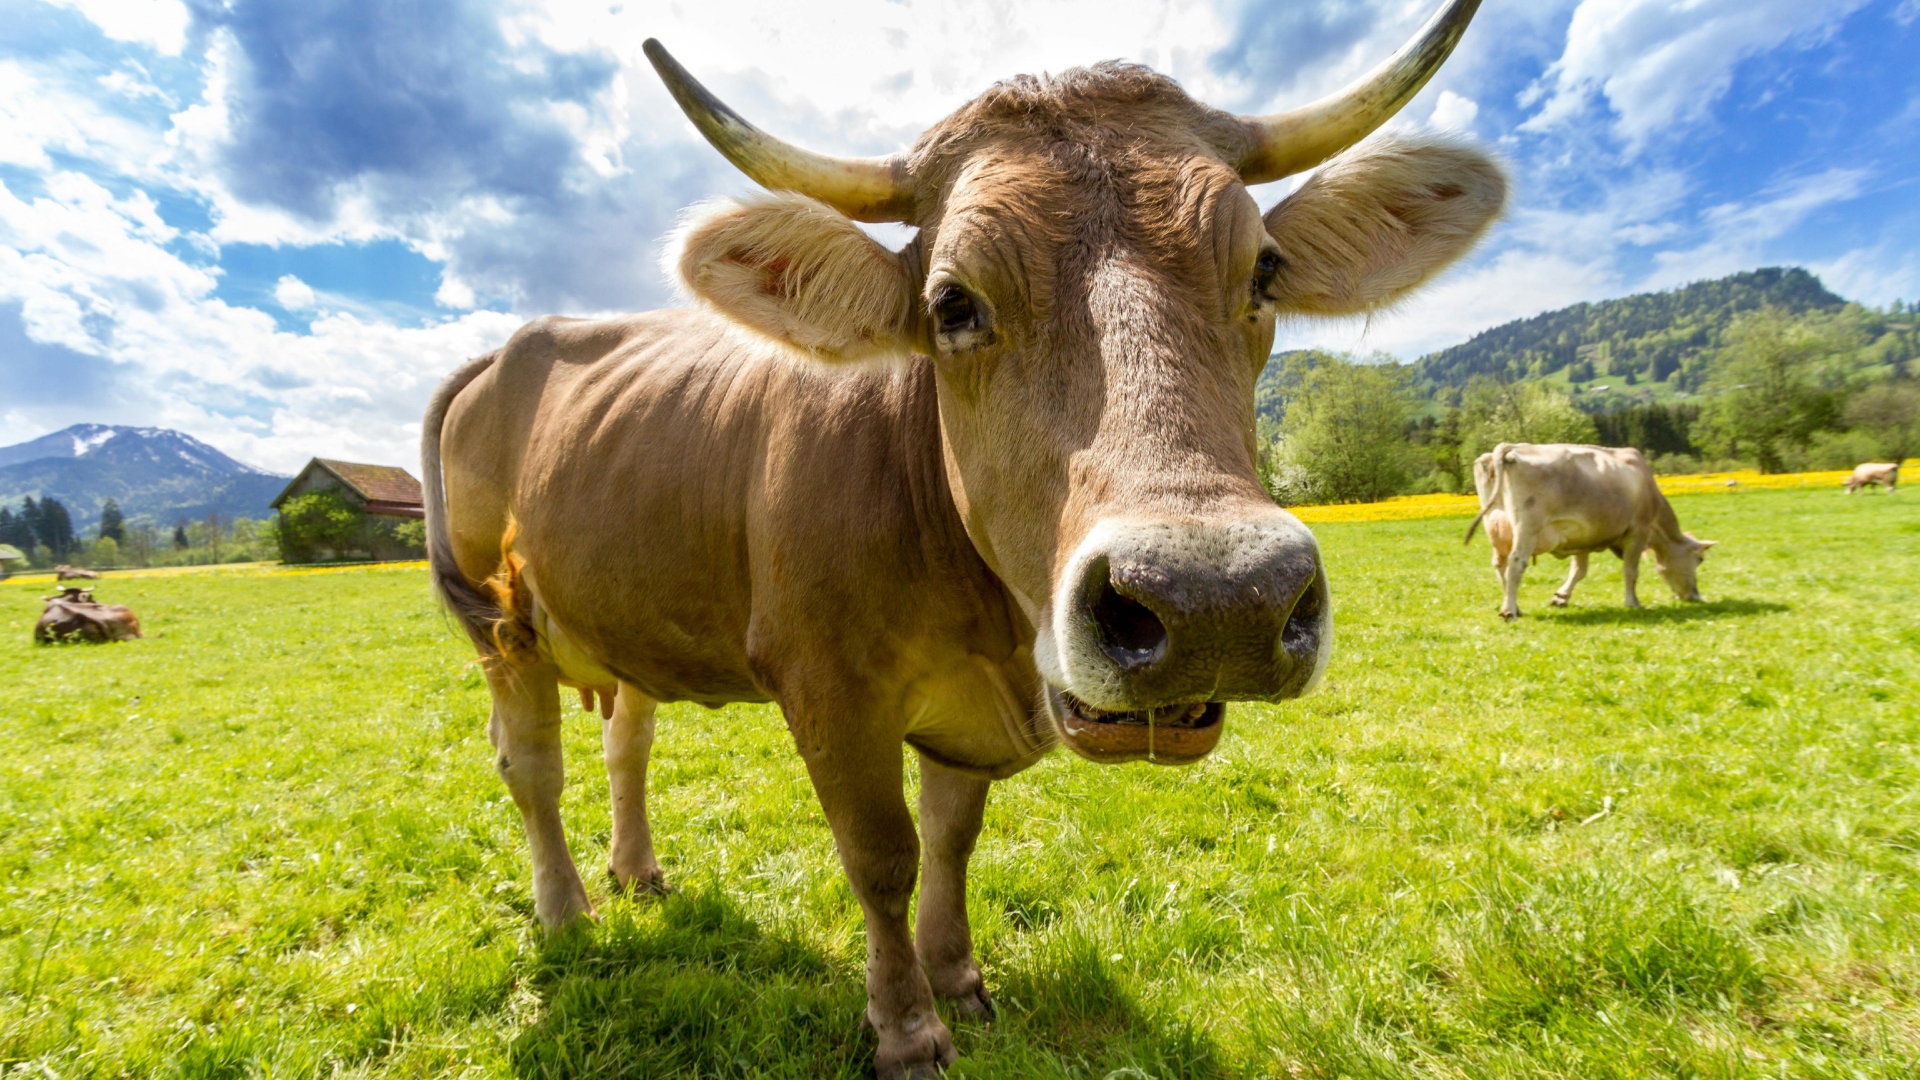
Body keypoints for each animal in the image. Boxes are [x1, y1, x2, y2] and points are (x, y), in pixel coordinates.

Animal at [425, 2, 1502, 1074]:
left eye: (1265, 272)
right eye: (953, 304)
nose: (1215, 602)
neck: (986, 624)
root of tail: (513, 344)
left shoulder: (962, 718)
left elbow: (951, 839)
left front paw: (958, 980)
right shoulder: (827, 687)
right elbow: (883, 856)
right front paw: (906, 1026)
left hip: (621, 614)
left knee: (627, 741)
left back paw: (638, 871)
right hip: (503, 625)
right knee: (531, 766)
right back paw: (567, 912)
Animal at [1466, 443, 1716, 620]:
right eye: (1700, 559)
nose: (1695, 596)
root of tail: (1511, 447)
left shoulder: (1581, 536)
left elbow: (1579, 570)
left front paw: (1561, 597)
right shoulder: (1638, 531)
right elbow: (1630, 571)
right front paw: (1633, 602)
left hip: (1497, 527)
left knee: (1501, 565)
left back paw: (1512, 606)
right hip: (1526, 529)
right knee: (1516, 563)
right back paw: (1510, 611)